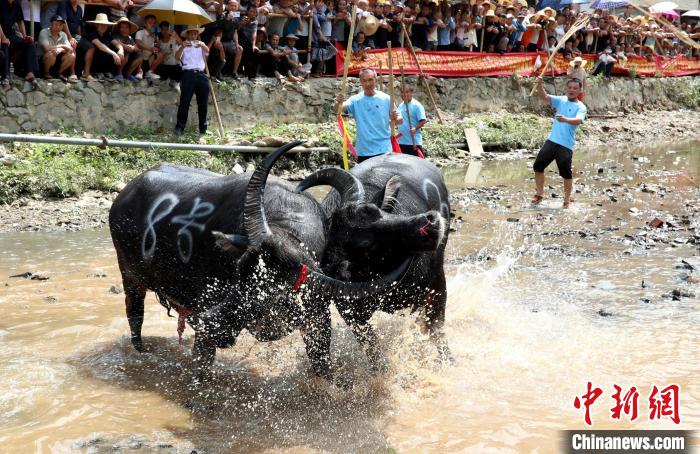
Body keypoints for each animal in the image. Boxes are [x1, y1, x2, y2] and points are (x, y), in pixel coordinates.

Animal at [106, 143, 408, 384]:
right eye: (240, 272)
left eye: (273, 294)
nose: (209, 322)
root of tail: (124, 194)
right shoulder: (207, 304)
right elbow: (202, 365)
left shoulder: (316, 313)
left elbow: (323, 364)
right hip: (130, 276)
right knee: (135, 317)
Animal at [294, 153, 448, 368]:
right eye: (367, 247)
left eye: (378, 211)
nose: (430, 221)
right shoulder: (351, 313)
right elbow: (372, 346)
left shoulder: (437, 286)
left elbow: (437, 331)